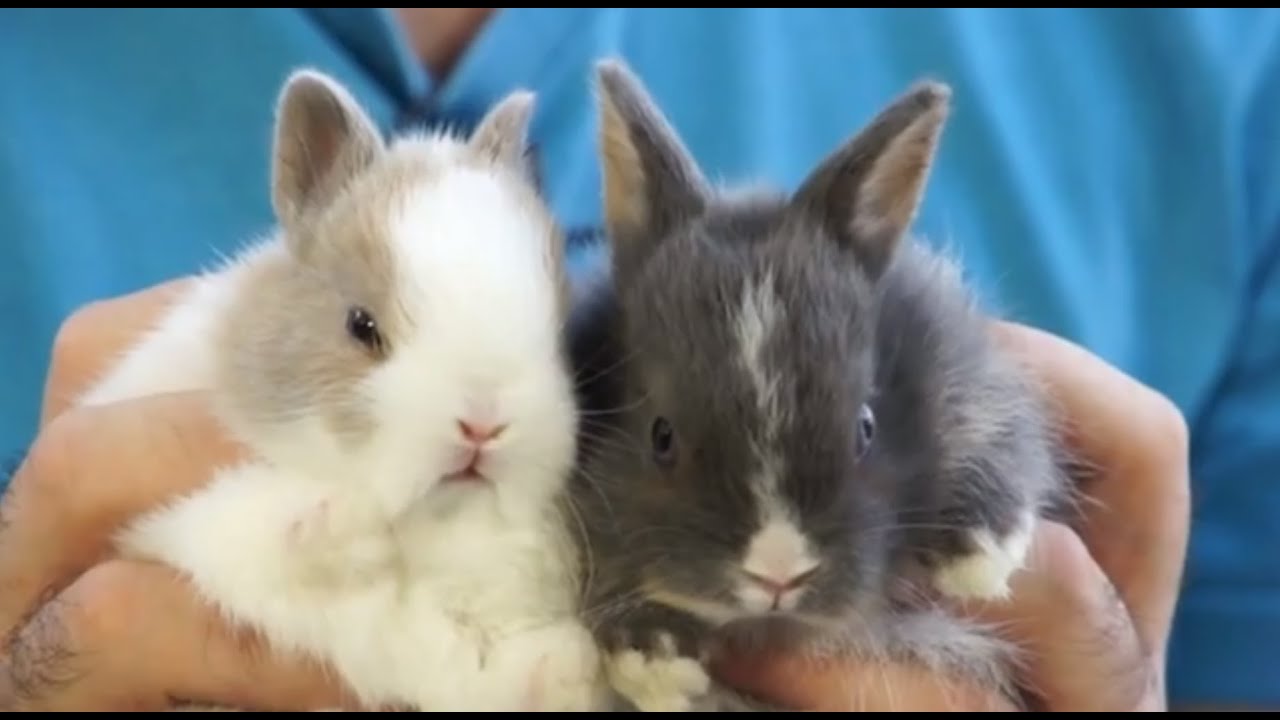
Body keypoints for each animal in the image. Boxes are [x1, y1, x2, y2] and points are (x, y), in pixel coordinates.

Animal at [79, 68, 608, 712]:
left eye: (560, 333)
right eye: (361, 325)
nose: (483, 423)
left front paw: (568, 665)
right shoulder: (186, 536)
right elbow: (255, 530)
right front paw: (344, 523)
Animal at [562, 58, 1073, 712]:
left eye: (865, 427)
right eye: (661, 436)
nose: (780, 573)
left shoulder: (968, 368)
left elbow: (1001, 430)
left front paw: (980, 555)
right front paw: (654, 658)